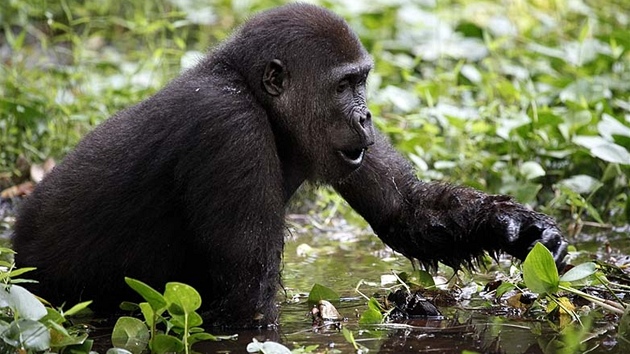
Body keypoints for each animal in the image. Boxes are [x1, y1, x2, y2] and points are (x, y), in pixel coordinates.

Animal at [12, 4, 572, 328]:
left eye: (362, 82)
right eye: (344, 86)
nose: (366, 116)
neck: (249, 87)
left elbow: (407, 212)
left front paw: (517, 227)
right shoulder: (230, 127)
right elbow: (248, 302)